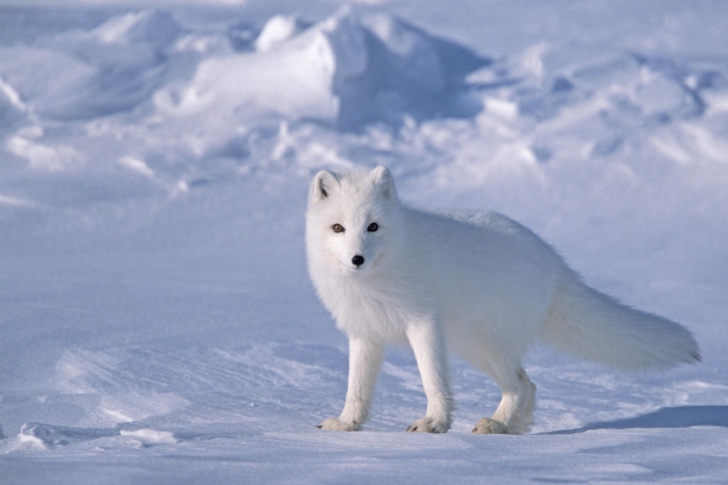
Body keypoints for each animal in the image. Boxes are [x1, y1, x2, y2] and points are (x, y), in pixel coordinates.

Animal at [306, 164, 700, 432]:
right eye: (338, 228)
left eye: (373, 226)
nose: (357, 259)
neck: (378, 276)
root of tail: (554, 262)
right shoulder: (364, 333)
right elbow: (356, 387)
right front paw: (347, 424)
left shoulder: (423, 324)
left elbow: (433, 380)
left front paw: (434, 423)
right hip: (476, 348)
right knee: (529, 384)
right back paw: (510, 428)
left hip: (485, 345)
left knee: (522, 384)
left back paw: (498, 425)